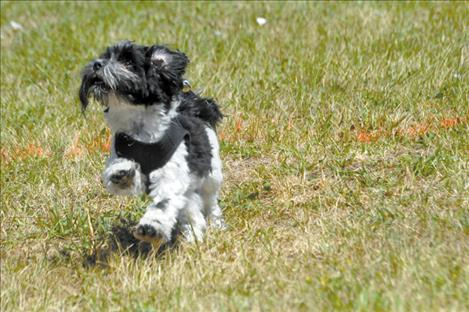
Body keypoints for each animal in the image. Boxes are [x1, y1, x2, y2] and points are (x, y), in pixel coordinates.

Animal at [79, 40, 225, 246]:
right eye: (105, 57)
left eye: (128, 62)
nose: (97, 64)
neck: (141, 132)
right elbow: (118, 171)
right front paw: (122, 172)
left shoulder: (171, 174)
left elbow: (164, 202)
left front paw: (151, 228)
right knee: (191, 210)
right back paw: (192, 236)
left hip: (211, 176)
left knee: (209, 201)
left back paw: (215, 224)